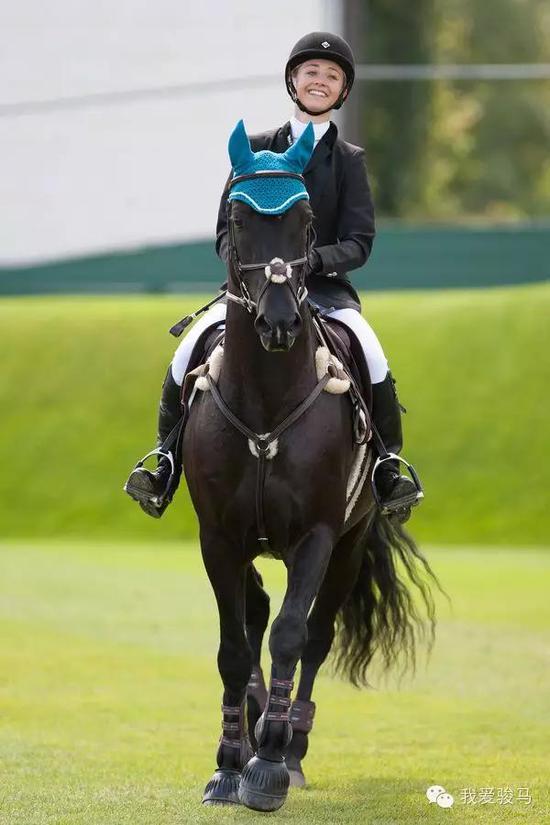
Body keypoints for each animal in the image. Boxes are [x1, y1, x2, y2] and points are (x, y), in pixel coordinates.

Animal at [183, 148, 442, 812]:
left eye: (306, 225)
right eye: (238, 220)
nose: (278, 325)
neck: (267, 397)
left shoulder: (318, 536)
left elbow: (292, 635)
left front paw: (269, 766)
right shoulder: (217, 537)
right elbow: (233, 646)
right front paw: (228, 764)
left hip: (349, 544)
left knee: (317, 634)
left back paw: (290, 745)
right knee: (253, 612)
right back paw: (252, 724)